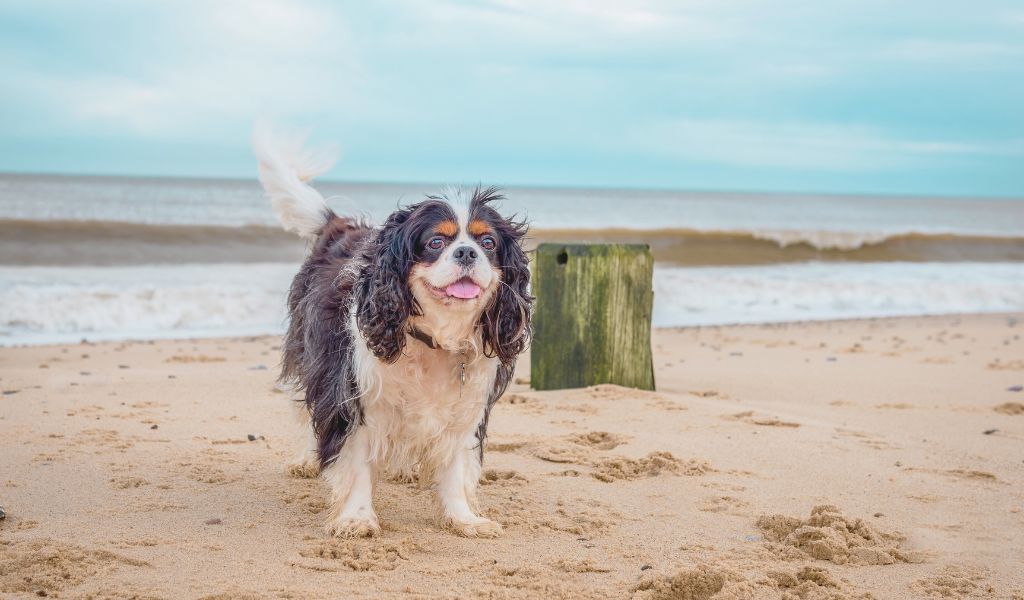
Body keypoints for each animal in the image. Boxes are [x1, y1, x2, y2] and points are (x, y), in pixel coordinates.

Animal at [252, 127, 532, 536]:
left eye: (487, 243)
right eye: (436, 242)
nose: (466, 253)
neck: (435, 339)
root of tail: (342, 226)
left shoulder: (465, 410)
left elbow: (454, 466)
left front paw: (463, 519)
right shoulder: (353, 394)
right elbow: (354, 459)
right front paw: (356, 518)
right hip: (310, 353)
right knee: (304, 406)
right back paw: (306, 459)